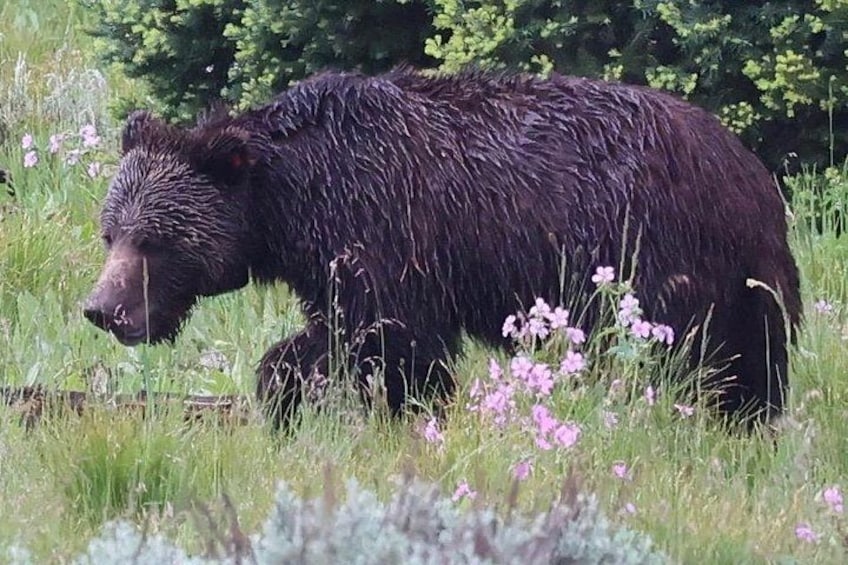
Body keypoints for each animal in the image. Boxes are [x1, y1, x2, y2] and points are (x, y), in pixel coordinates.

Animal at [83, 66, 802, 431]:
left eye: (155, 240)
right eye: (111, 231)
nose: (101, 309)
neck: (290, 201)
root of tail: (749, 169)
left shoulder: (384, 232)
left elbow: (386, 336)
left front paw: (381, 408)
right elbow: (348, 334)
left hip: (658, 257)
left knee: (693, 354)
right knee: (747, 360)